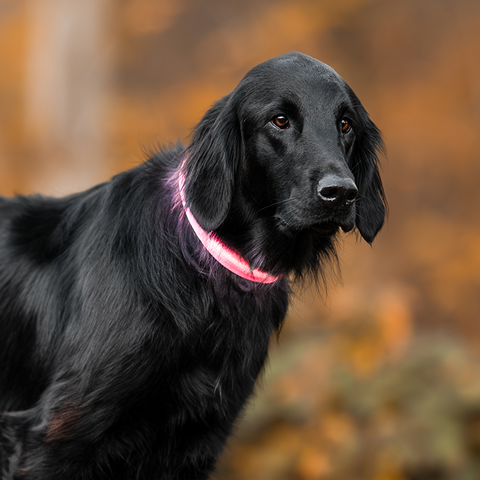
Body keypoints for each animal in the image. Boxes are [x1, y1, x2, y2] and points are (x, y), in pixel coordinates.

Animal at [0, 53, 384, 480]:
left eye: (345, 124)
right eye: (279, 120)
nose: (341, 193)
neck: (202, 275)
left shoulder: (198, 441)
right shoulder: (53, 436)